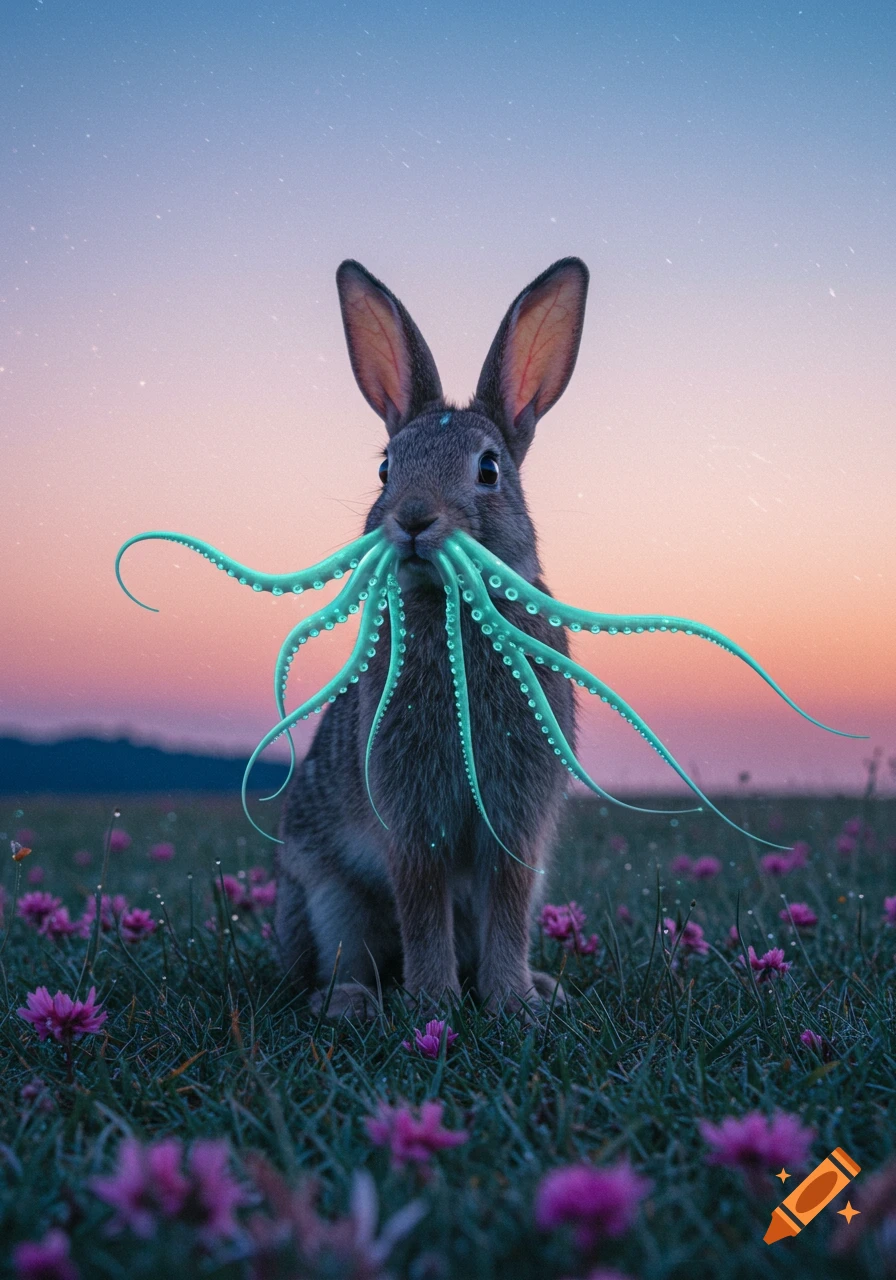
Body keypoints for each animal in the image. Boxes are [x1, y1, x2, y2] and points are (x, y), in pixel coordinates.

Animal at [274, 256, 589, 1019]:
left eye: (489, 469)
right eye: (386, 467)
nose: (414, 519)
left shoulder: (516, 819)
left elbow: (507, 907)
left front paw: (512, 1002)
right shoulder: (411, 821)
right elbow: (421, 905)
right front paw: (435, 1003)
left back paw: (545, 987)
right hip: (330, 902)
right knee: (332, 963)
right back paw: (352, 1001)